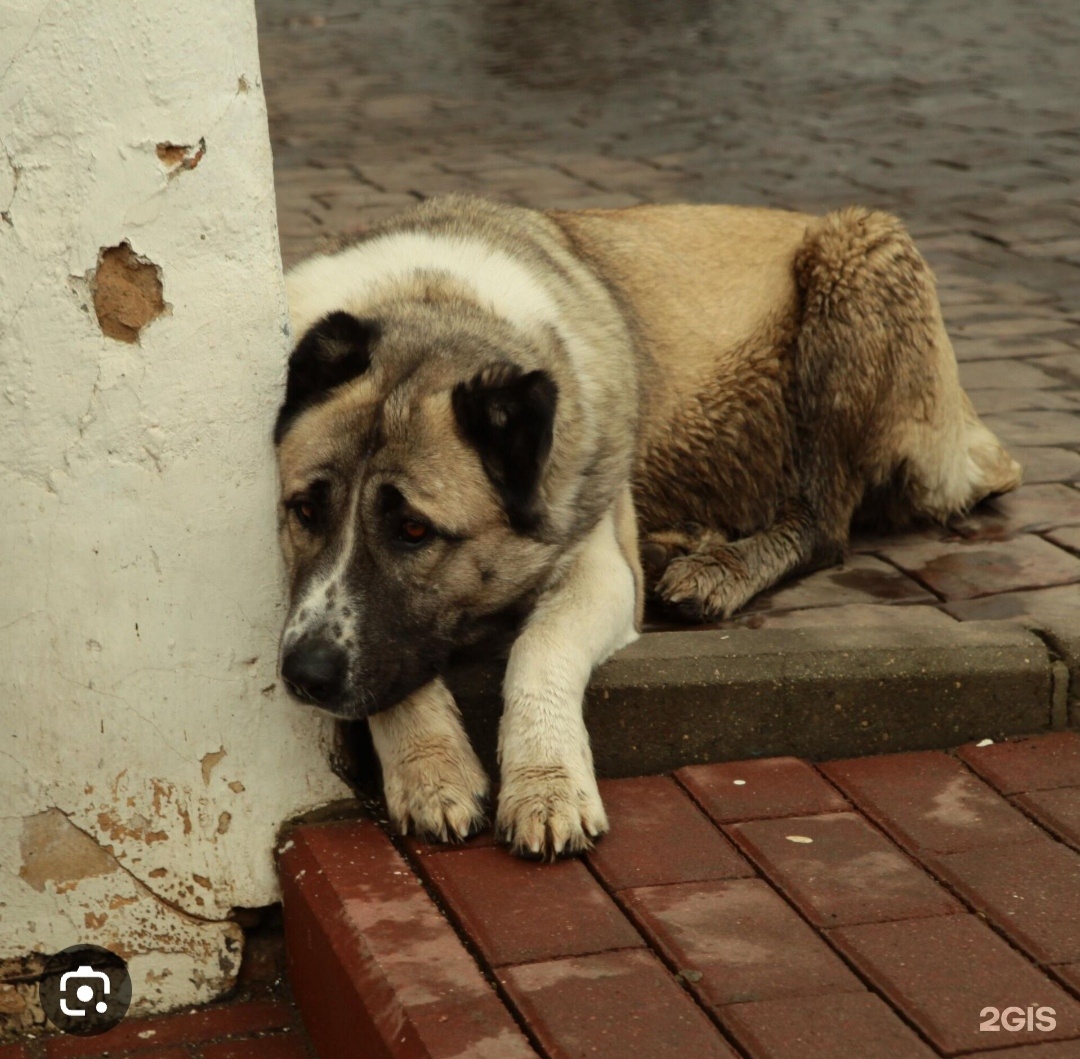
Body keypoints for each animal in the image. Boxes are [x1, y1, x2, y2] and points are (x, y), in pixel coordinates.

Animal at [272, 192, 1019, 859]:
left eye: (414, 532)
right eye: (304, 511)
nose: (302, 676)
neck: (433, 302)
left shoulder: (597, 564)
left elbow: (538, 650)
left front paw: (546, 785)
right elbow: (387, 671)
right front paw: (431, 768)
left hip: (853, 266)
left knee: (825, 524)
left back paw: (719, 569)